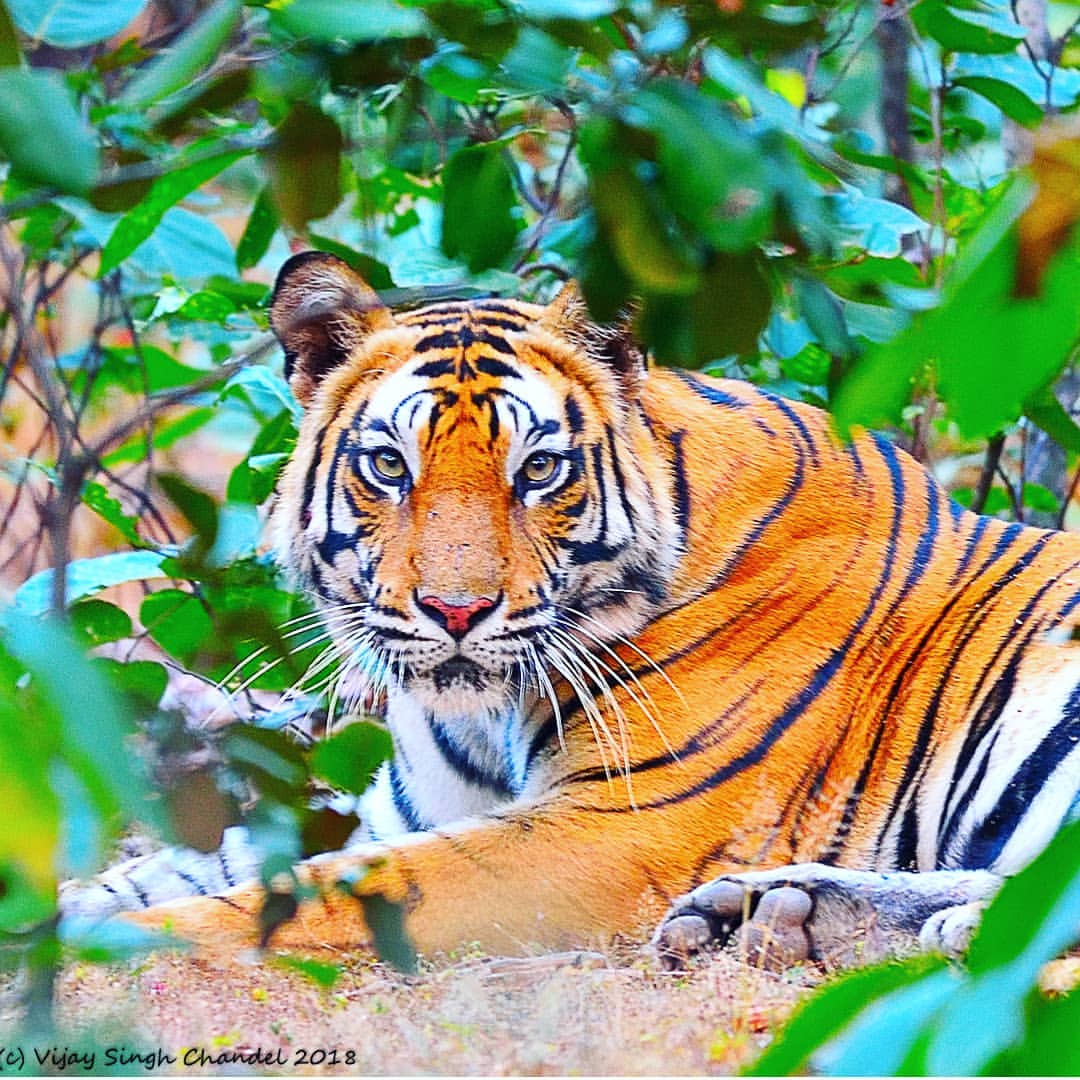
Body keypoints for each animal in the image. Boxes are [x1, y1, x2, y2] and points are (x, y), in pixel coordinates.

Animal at [60, 250, 1080, 970]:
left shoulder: (609, 834)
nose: (456, 611)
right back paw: (777, 917)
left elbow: (272, 902)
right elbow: (188, 869)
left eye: (539, 469)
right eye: (389, 465)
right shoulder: (403, 813)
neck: (481, 716)